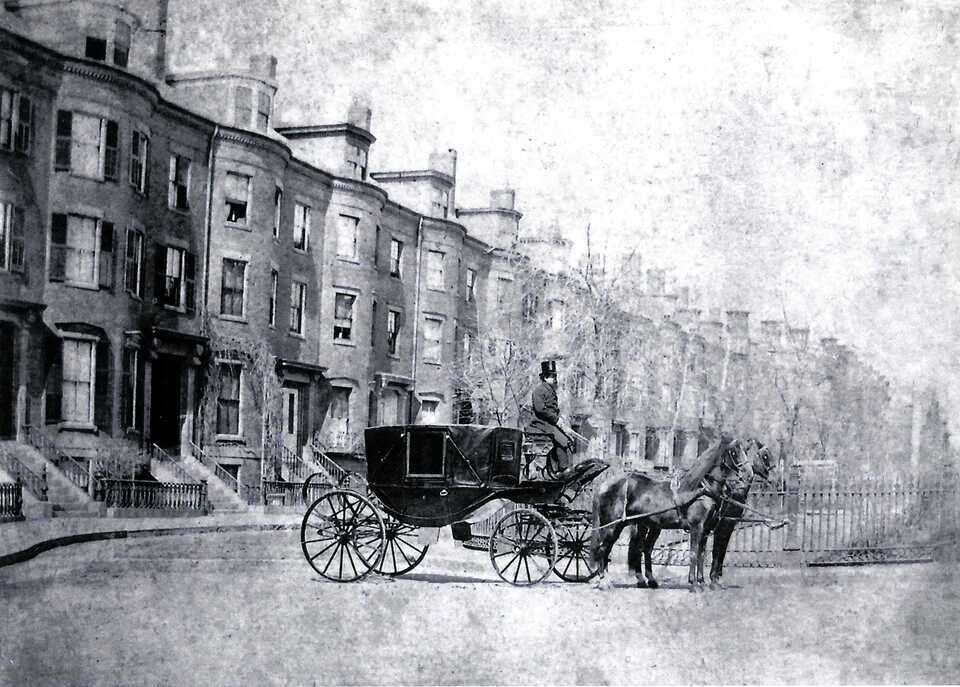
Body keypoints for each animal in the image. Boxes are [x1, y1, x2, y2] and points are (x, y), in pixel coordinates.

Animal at [588, 440, 760, 592]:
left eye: (745, 450)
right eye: (734, 452)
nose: (748, 474)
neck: (699, 489)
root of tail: (603, 485)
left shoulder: (706, 531)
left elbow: (701, 555)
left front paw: (702, 582)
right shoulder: (697, 528)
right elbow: (694, 554)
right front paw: (694, 584)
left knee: (638, 549)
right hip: (613, 526)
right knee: (603, 549)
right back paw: (604, 582)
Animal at [704, 440, 780, 584]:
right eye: (765, 456)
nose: (776, 480)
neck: (734, 492)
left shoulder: (727, 525)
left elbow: (722, 549)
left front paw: (717, 574)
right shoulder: (724, 524)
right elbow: (718, 549)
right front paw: (714, 576)